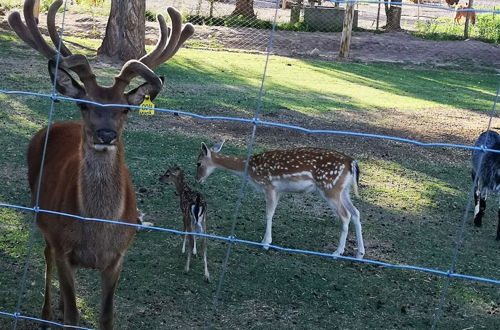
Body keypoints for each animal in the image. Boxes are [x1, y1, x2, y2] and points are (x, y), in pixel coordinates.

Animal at [9, 0, 195, 328]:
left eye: (124, 108)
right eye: (85, 104)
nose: (106, 134)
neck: (97, 235)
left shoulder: (118, 257)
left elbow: (106, 317)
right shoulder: (62, 246)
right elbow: (73, 315)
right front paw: (61, 312)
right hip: (41, 215)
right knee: (45, 256)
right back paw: (46, 314)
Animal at [194, 141, 364, 260]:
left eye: (198, 163)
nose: (198, 179)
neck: (250, 171)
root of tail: (352, 163)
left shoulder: (269, 186)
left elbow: (268, 214)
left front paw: (266, 243)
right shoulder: (279, 190)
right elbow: (272, 212)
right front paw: (265, 239)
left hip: (330, 188)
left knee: (346, 215)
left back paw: (337, 252)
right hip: (343, 191)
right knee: (356, 213)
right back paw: (360, 253)